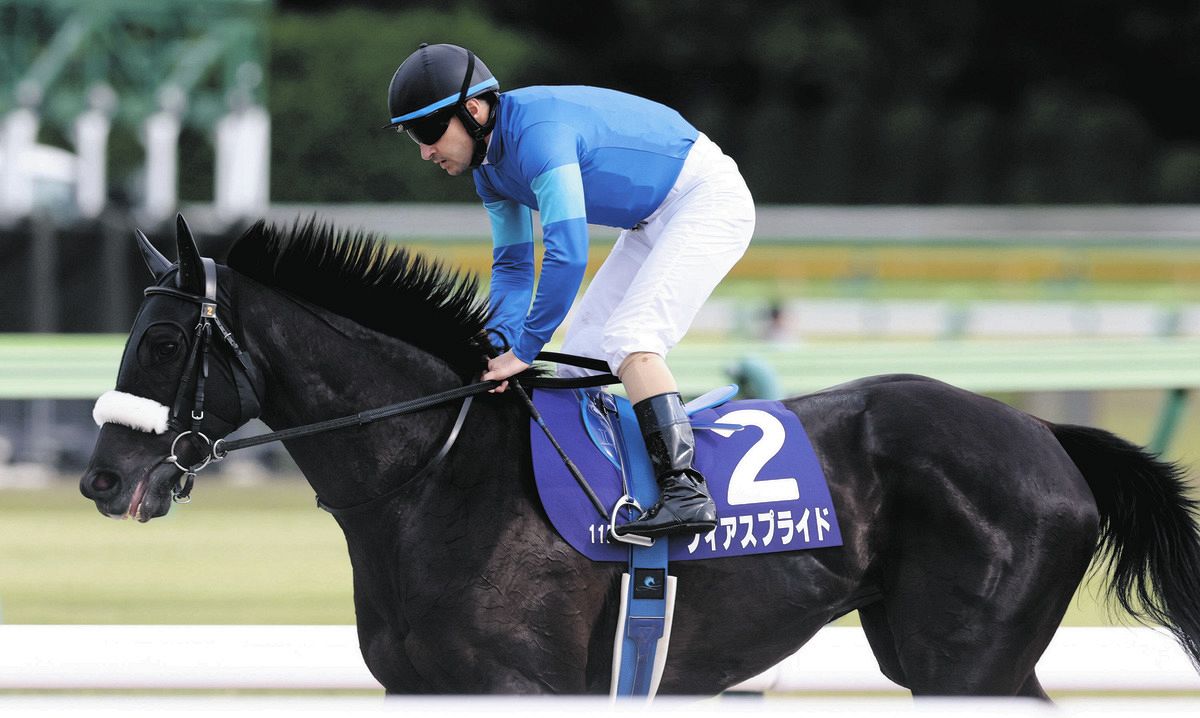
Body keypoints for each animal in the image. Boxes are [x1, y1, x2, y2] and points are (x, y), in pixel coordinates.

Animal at [81, 215, 1200, 697]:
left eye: (165, 343)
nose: (101, 477)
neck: (434, 477)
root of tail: (1044, 435)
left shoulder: (519, 688)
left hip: (968, 663)